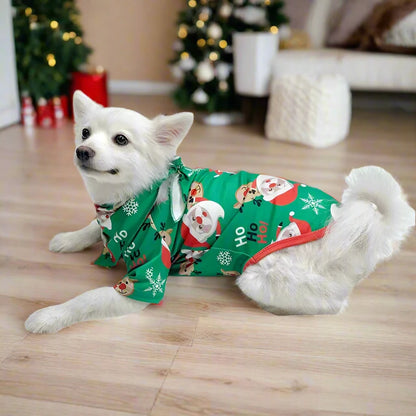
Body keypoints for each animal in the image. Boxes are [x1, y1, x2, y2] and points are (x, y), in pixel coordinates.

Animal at [24, 92, 414, 334]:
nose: (82, 151)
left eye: (120, 140)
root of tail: (358, 227)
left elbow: (88, 299)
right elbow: (93, 226)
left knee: (333, 304)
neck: (132, 198)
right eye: (85, 132)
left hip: (259, 276)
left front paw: (48, 315)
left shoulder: (144, 282)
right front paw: (71, 238)